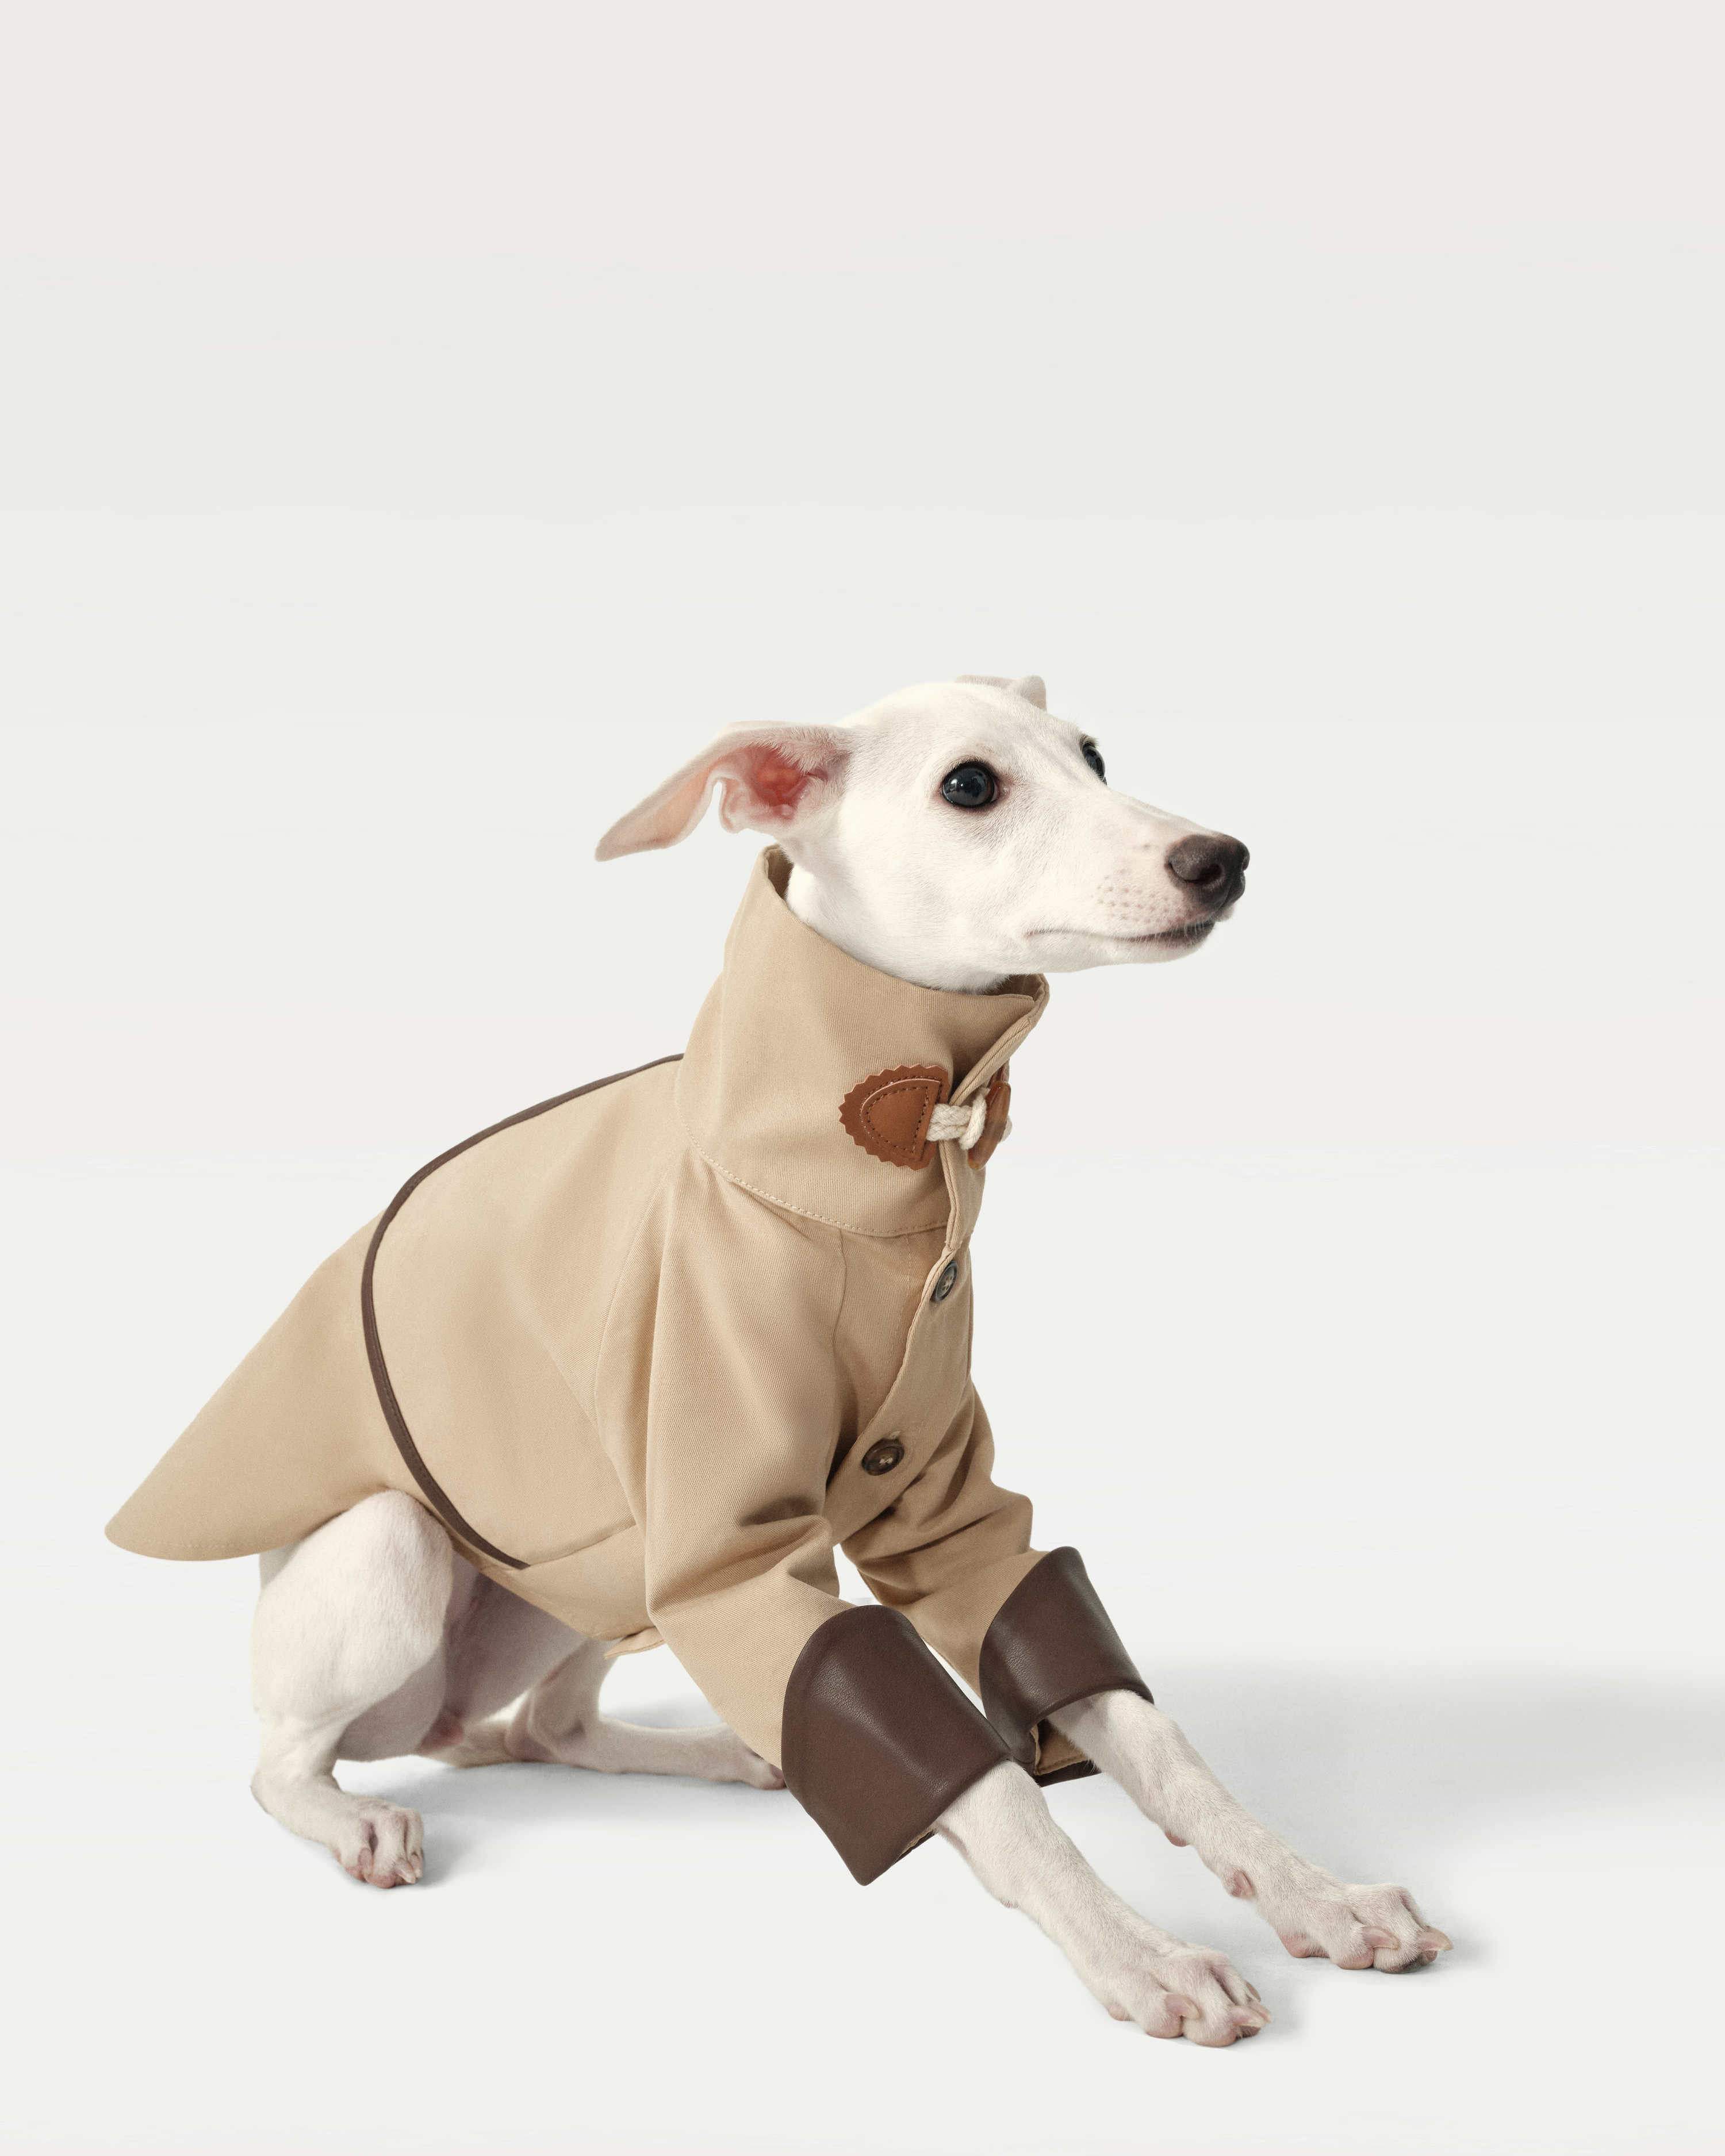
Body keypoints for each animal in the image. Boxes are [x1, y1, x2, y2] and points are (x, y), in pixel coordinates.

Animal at [109, 674, 1449, 2046]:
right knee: (283, 1762)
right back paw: (357, 1819)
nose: (1220, 859)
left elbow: (1143, 1730)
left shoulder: (946, 1518)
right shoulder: (730, 1552)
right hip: (402, 1551)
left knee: (551, 1728)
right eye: (971, 784)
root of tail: (441, 1722)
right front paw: (1138, 1953)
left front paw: (1313, 1889)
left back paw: (724, 1754)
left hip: (609, 1589)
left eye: (1097, 755)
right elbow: (990, 1791)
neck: (849, 1174)